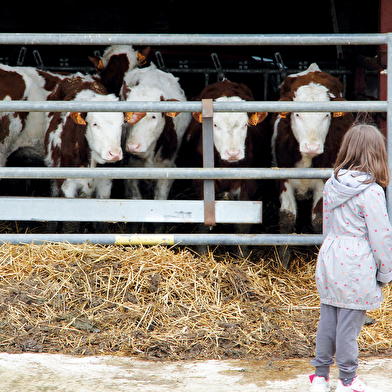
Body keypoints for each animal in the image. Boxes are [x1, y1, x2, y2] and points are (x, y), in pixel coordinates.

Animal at [177, 79, 272, 258]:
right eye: (215, 124)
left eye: (245, 125)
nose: (233, 153)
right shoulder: (201, 184)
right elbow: (203, 224)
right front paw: (202, 253)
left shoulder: (249, 184)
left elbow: (242, 224)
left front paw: (242, 255)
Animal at [272, 63, 354, 266]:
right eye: (297, 114)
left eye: (326, 115)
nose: (312, 147)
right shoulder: (282, 179)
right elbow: (287, 218)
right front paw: (283, 261)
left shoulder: (323, 182)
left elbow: (318, 220)